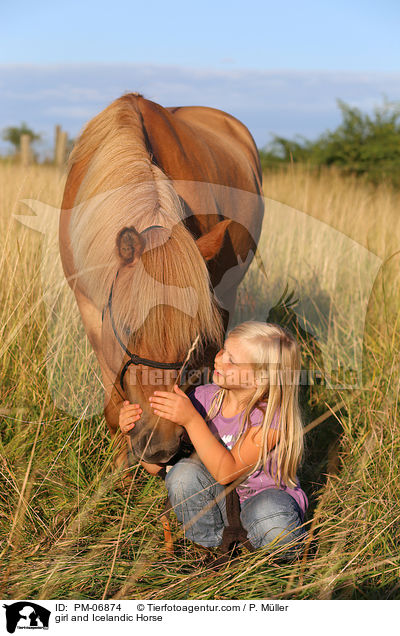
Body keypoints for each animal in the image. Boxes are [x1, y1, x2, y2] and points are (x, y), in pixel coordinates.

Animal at [59, 90, 264, 468]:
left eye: (192, 336)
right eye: (127, 328)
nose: (160, 447)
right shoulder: (91, 311)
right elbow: (115, 408)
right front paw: (120, 473)